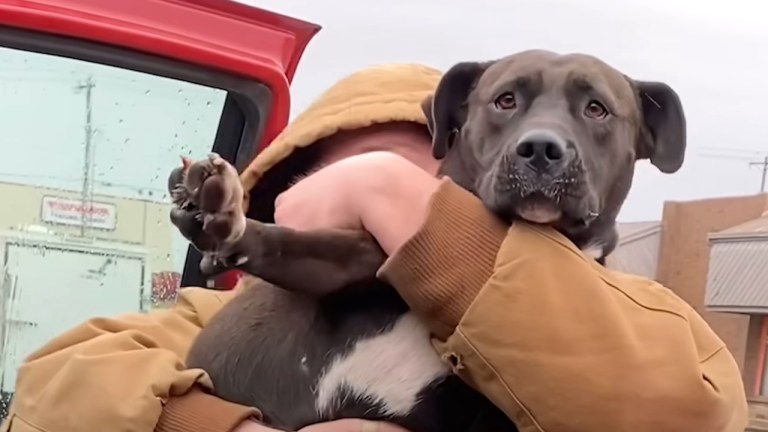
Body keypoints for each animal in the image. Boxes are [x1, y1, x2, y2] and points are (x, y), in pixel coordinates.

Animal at [166, 50, 684, 432]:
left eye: (597, 109)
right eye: (505, 100)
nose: (540, 149)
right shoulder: (363, 256)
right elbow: (294, 245)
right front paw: (223, 218)